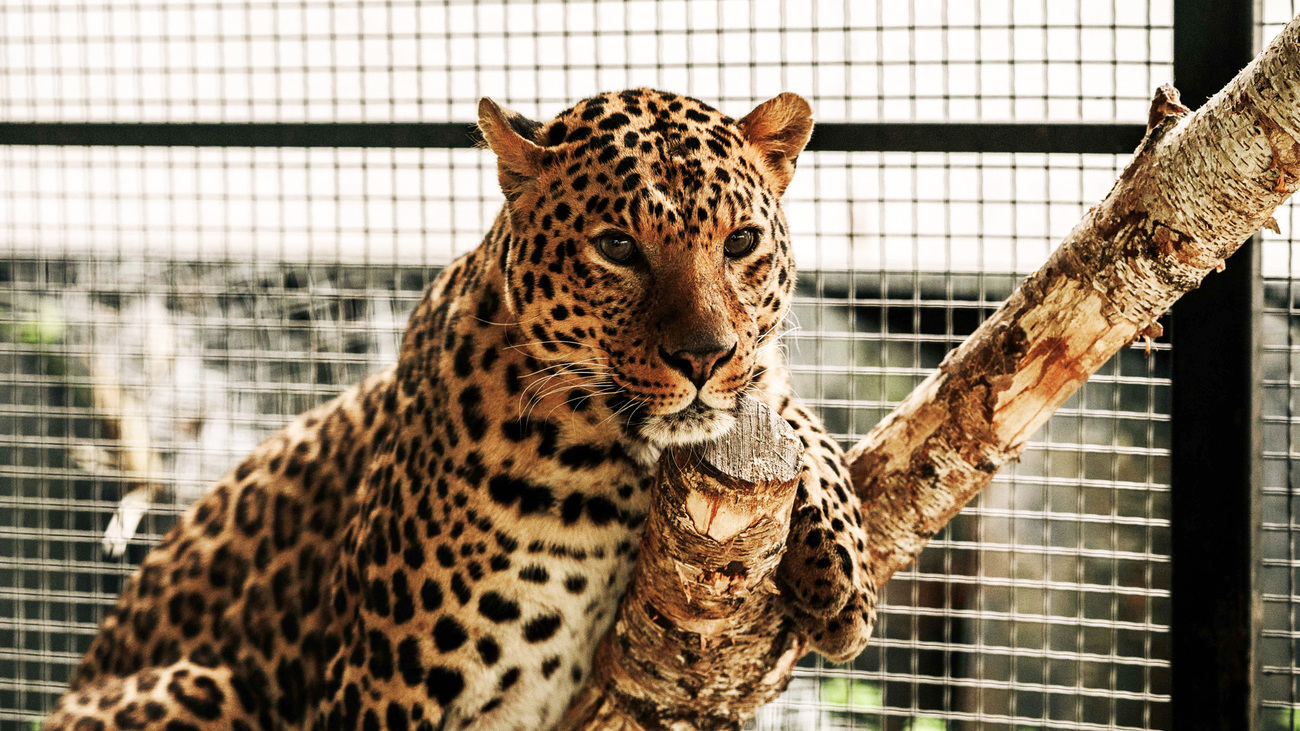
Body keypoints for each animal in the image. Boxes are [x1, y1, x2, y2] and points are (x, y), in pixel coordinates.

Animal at [50, 88, 883, 723]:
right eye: (616, 246)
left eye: (740, 241)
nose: (704, 356)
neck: (618, 461)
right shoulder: (380, 686)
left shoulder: (760, 390)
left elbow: (796, 413)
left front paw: (845, 579)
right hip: (196, 682)